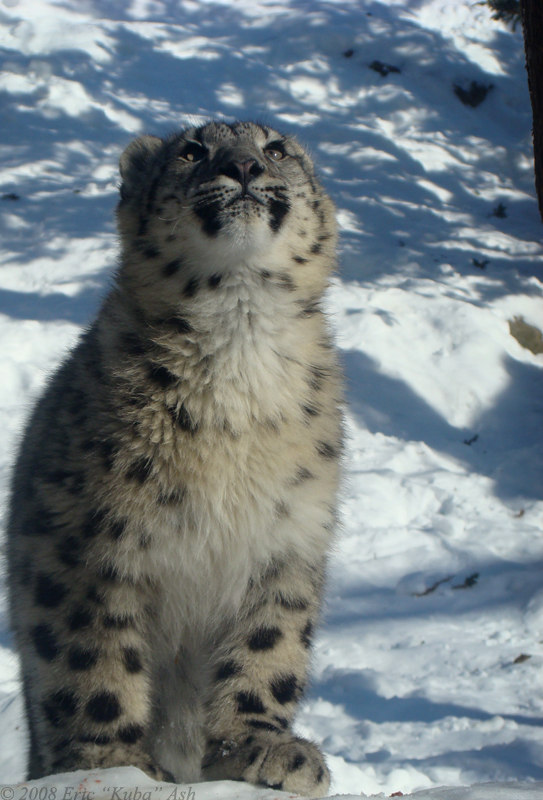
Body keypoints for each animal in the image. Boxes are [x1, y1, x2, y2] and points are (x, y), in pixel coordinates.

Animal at [5, 120, 344, 792]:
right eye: (191, 152)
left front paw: (261, 747)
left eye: (275, 149)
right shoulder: (91, 541)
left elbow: (268, 646)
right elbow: (92, 653)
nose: (243, 166)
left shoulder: (288, 538)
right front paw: (110, 765)